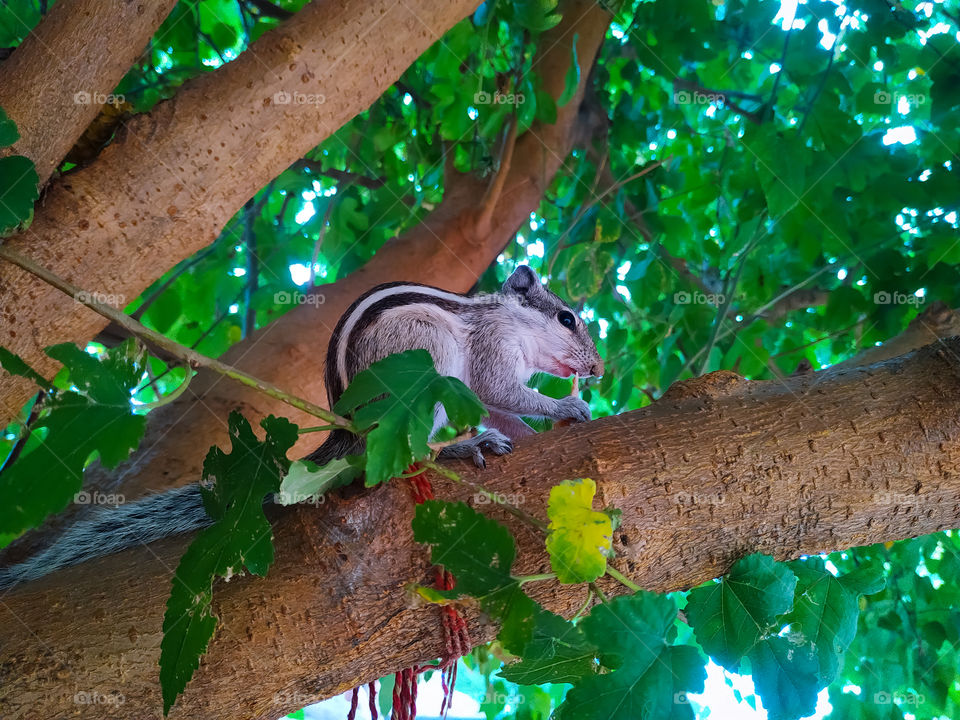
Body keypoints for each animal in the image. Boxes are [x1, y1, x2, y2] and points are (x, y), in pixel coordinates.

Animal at [0, 266, 602, 589]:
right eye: (566, 318)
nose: (597, 370)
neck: (508, 320)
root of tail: (352, 433)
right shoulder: (490, 352)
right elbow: (501, 392)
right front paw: (567, 411)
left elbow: (503, 409)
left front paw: (536, 431)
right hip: (422, 369)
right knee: (411, 456)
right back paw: (458, 449)